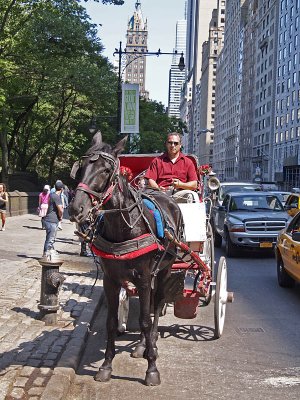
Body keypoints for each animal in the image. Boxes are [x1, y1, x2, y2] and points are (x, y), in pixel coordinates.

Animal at [68, 132, 184, 384]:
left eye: (105, 170)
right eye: (81, 168)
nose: (76, 209)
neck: (124, 225)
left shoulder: (143, 277)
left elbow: (145, 319)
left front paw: (152, 368)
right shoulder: (110, 280)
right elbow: (112, 322)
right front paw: (106, 366)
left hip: (164, 270)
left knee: (155, 305)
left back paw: (152, 344)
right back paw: (141, 345)